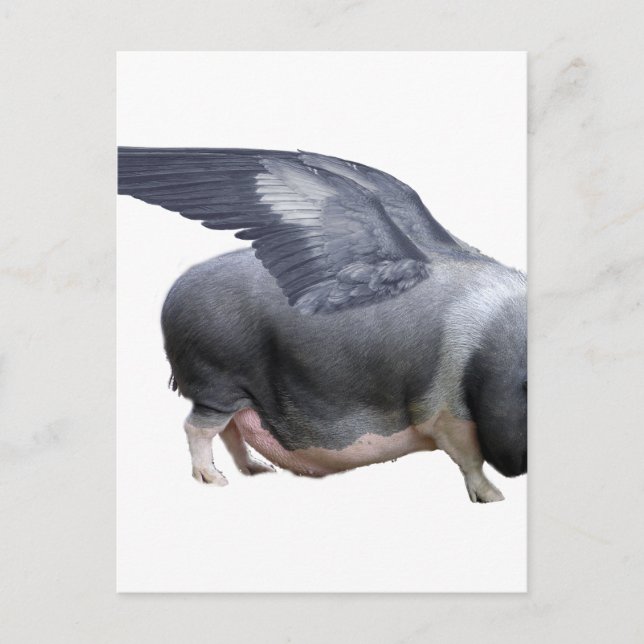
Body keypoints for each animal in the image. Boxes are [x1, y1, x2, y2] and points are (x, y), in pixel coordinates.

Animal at [118, 147, 527, 502]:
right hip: (216, 379)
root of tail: (173, 294)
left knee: (232, 430)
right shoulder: (445, 410)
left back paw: (257, 471)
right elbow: (469, 458)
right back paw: (216, 481)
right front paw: (494, 498)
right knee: (199, 427)